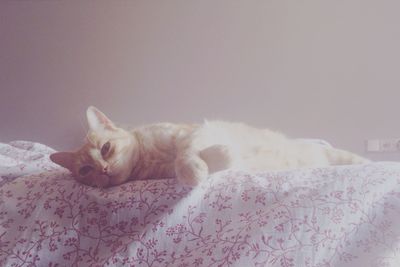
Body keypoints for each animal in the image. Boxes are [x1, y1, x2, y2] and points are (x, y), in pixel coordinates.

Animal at [49, 107, 368, 188]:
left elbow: (186, 154)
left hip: (336, 155)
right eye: (86, 170)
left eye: (105, 149)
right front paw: (221, 158)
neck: (149, 158)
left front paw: (195, 170)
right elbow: (214, 157)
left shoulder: (193, 132)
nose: (102, 169)